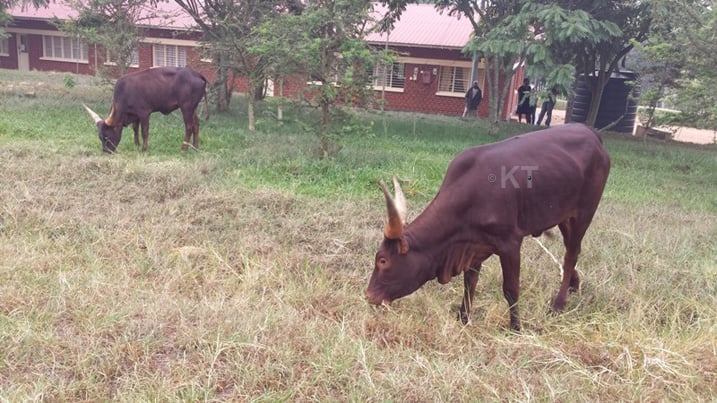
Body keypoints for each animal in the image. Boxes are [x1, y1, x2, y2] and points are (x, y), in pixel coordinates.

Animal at [366, 124, 608, 332]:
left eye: (383, 260)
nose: (369, 295)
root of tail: (591, 133)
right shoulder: (473, 246)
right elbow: (469, 283)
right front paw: (463, 317)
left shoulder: (510, 243)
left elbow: (510, 289)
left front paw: (516, 327)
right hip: (564, 217)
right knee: (572, 252)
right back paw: (574, 285)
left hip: (584, 213)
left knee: (571, 254)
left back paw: (559, 303)